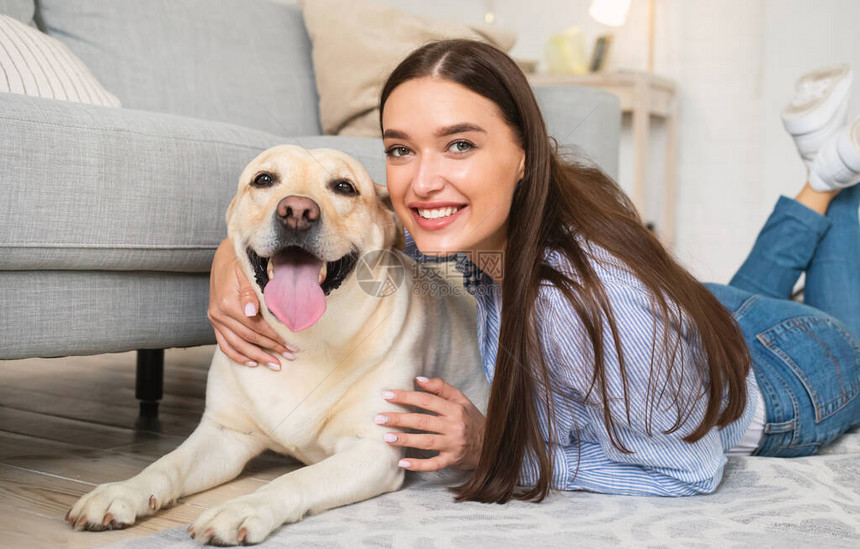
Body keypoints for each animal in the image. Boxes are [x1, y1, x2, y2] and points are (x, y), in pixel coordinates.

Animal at [64, 144, 488, 544]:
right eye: (264, 180)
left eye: (344, 187)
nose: (296, 211)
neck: (306, 339)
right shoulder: (225, 434)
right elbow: (167, 463)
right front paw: (123, 491)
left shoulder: (372, 449)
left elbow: (296, 479)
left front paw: (241, 509)